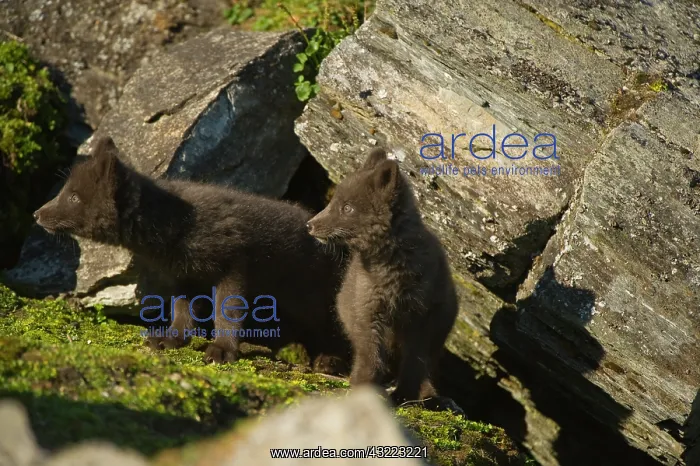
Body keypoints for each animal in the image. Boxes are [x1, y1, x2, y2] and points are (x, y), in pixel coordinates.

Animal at [306, 147, 458, 403]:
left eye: (347, 208)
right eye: (334, 202)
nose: (309, 225)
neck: (391, 270)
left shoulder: (420, 315)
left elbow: (415, 360)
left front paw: (405, 394)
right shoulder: (368, 308)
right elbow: (370, 354)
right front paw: (364, 387)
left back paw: (427, 393)